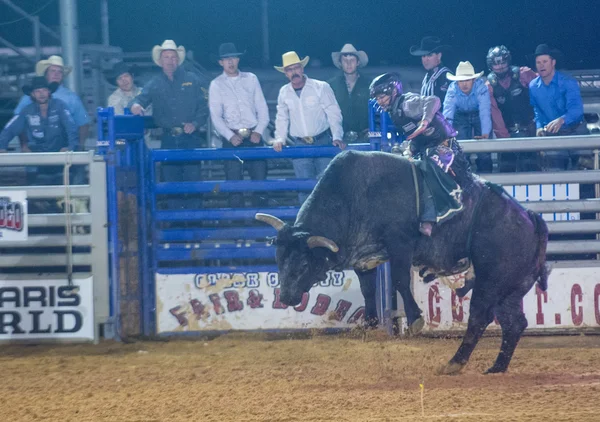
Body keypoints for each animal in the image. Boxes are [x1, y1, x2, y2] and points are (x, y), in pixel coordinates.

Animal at [255, 150, 552, 374]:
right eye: (278, 259)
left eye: (304, 265)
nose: (287, 296)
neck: (355, 193)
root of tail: (529, 217)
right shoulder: (363, 257)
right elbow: (368, 289)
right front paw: (370, 324)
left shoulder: (400, 244)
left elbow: (399, 279)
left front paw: (416, 319)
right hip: (511, 287)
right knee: (514, 324)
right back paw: (496, 367)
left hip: (491, 282)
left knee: (480, 318)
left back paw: (454, 363)